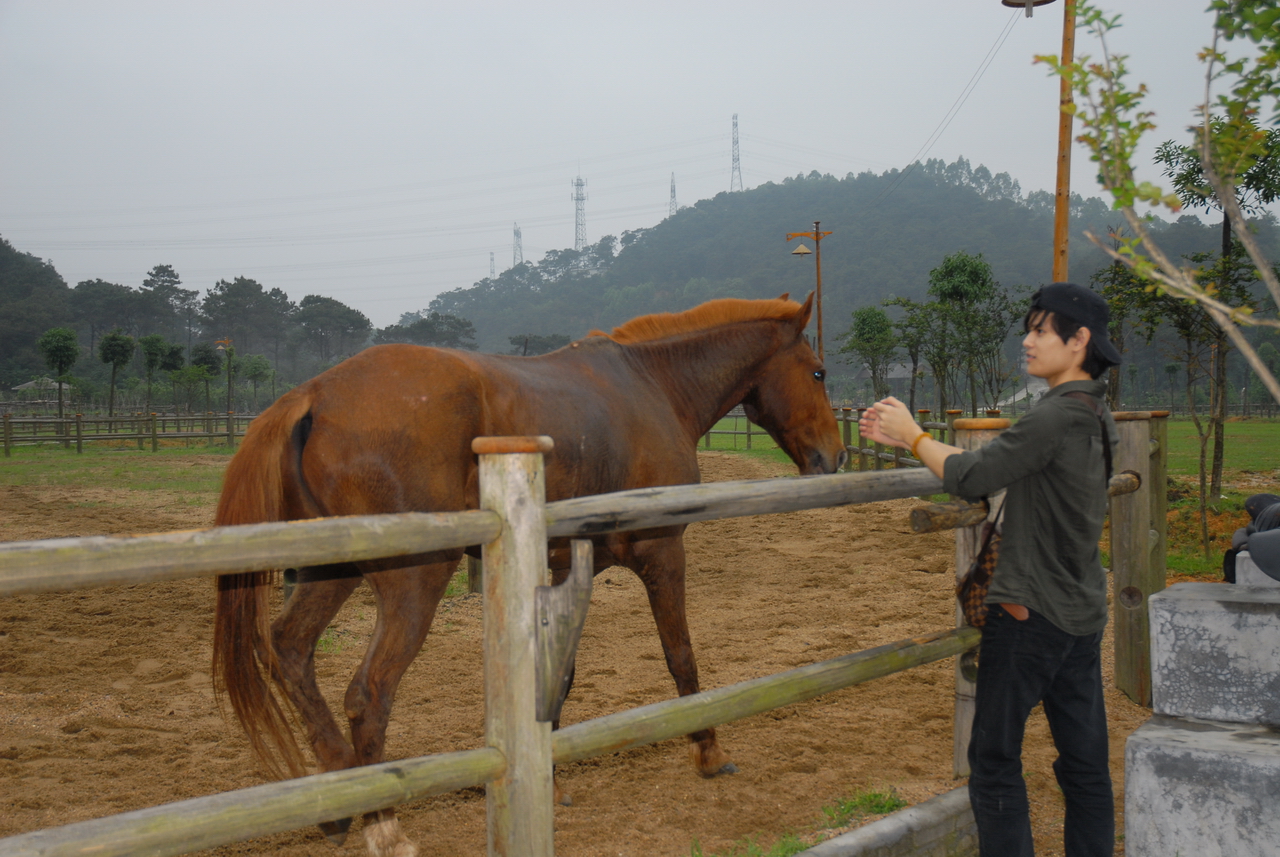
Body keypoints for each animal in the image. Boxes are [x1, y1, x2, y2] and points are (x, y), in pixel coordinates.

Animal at [211, 295, 849, 857]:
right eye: (818, 371)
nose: (835, 457)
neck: (651, 387)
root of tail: (313, 395)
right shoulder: (664, 552)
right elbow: (680, 656)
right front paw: (709, 751)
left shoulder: (566, 560)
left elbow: (560, 674)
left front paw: (554, 777)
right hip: (414, 581)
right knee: (368, 692)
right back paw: (384, 827)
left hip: (332, 569)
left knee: (289, 651)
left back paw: (341, 801)